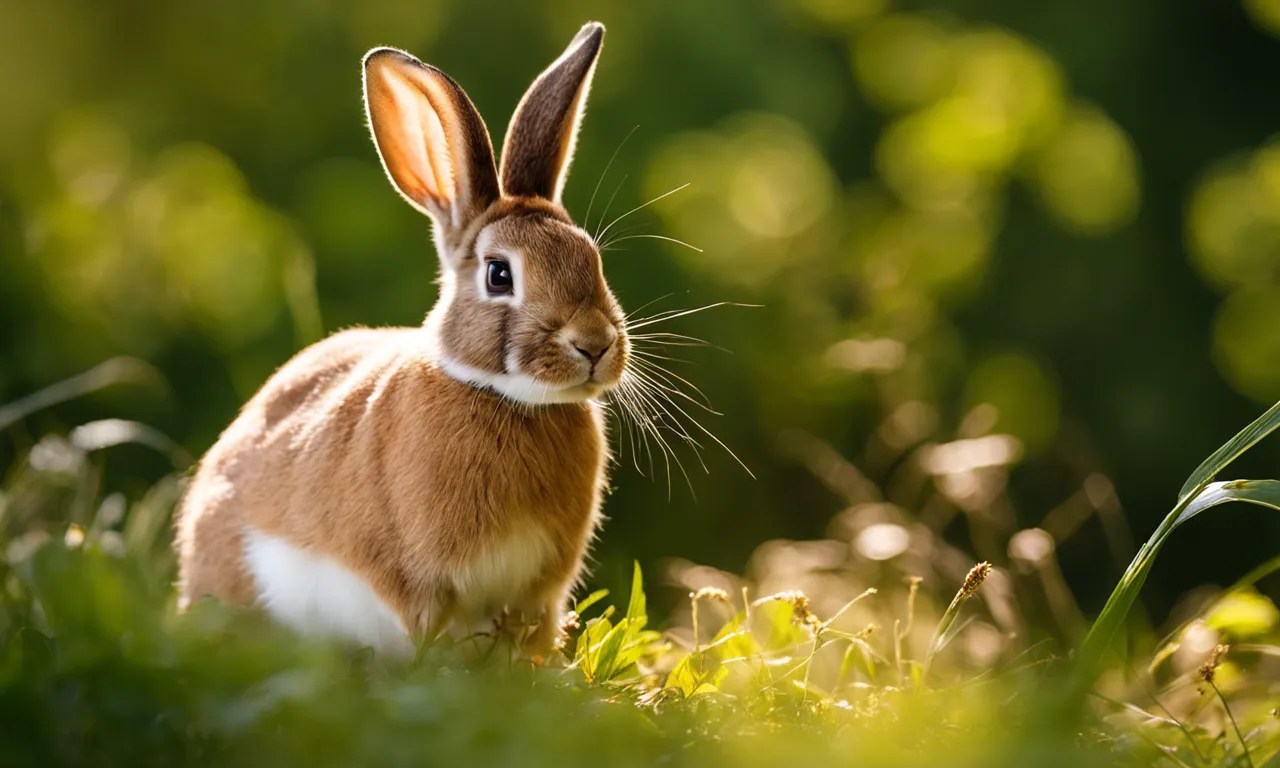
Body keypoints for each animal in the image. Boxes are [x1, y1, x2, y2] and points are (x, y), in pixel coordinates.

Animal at [175, 21, 627, 660]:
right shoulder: (411, 579)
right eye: (499, 274)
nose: (594, 344)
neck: (507, 399)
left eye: (593, 259)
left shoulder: (540, 591)